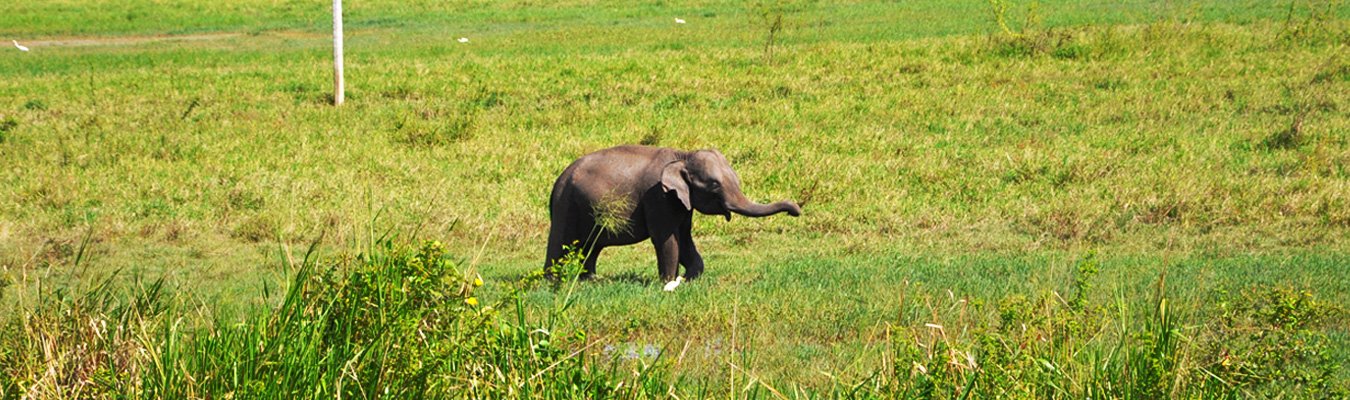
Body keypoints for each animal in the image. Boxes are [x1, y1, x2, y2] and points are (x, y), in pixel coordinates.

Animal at [545, 145, 799, 286]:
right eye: (714, 185)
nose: (795, 211)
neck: (683, 155)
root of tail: (558, 180)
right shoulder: (658, 197)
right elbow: (666, 239)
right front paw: (667, 283)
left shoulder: (680, 201)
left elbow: (685, 238)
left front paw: (687, 279)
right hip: (566, 204)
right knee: (559, 241)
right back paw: (552, 282)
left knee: (593, 246)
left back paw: (590, 280)